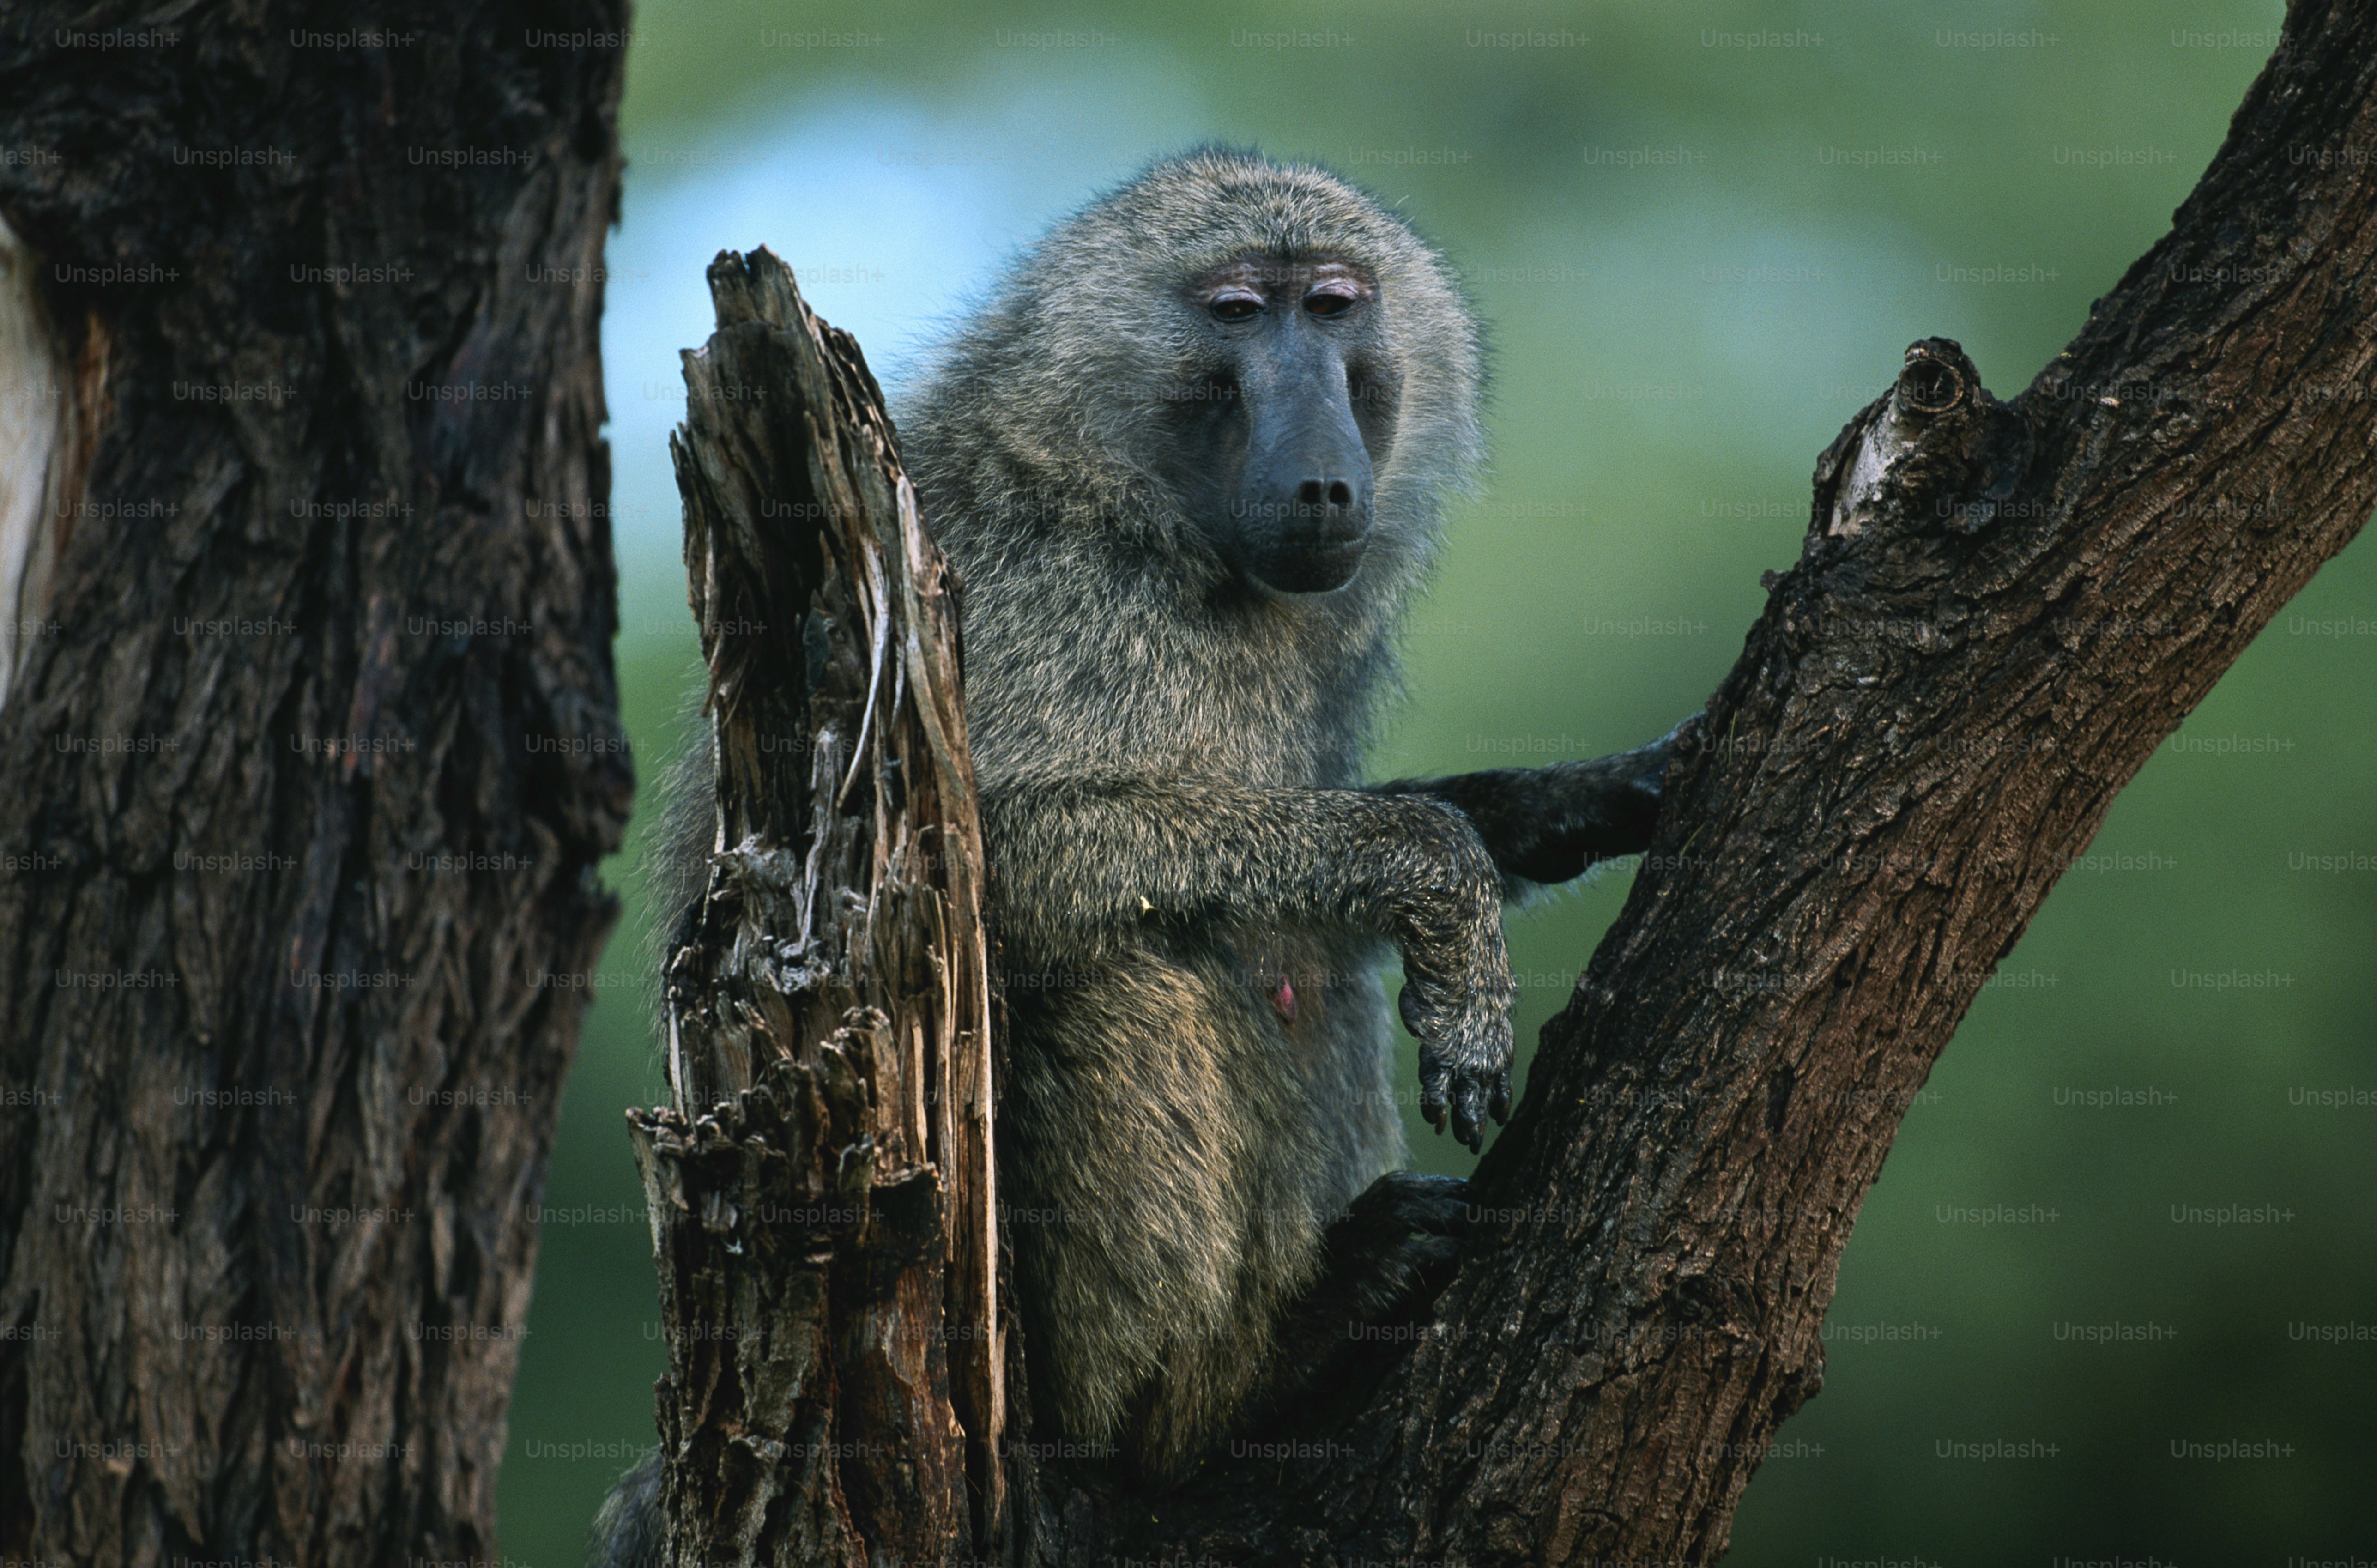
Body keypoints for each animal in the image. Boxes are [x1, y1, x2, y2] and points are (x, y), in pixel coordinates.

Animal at [596, 146, 1676, 1555]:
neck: (1150, 524)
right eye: (1237, 312)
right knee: (1120, 973)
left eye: (1333, 306)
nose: (1323, 482)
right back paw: (1235, 1386)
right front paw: (1446, 891)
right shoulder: (1016, 589)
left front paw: (1590, 797)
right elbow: (980, 853)